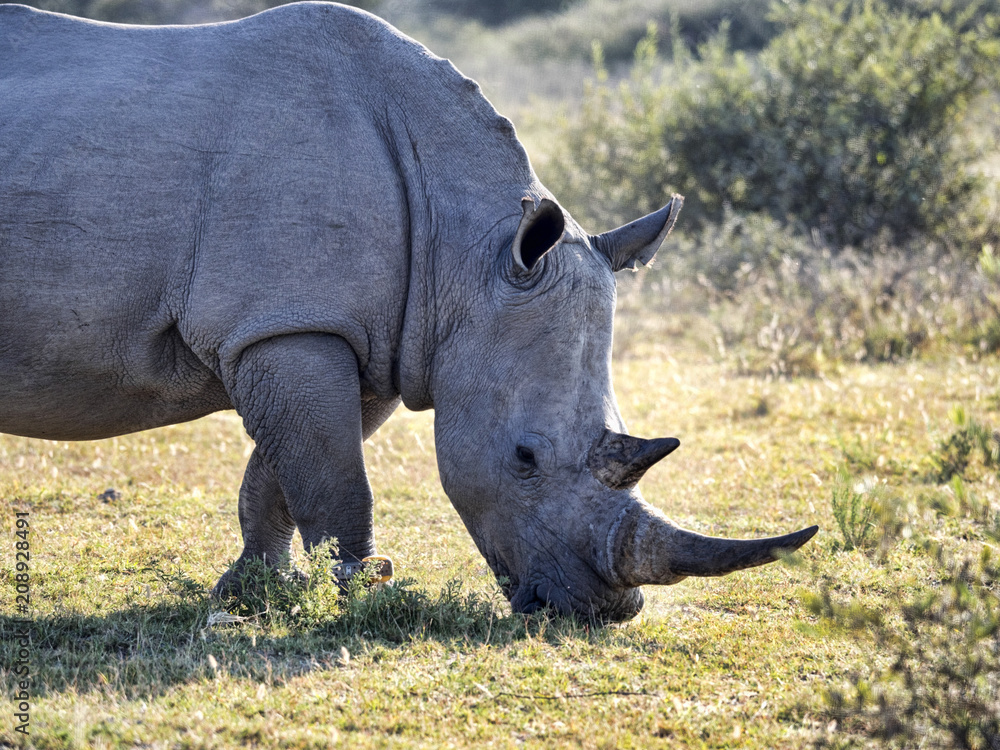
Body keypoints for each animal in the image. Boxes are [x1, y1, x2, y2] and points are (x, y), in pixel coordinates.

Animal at [0, 1, 817, 621]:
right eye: (524, 457)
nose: (603, 611)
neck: (468, 252)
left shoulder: (356, 335)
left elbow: (284, 471)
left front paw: (253, 595)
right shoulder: (288, 323)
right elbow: (334, 477)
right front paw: (365, 597)